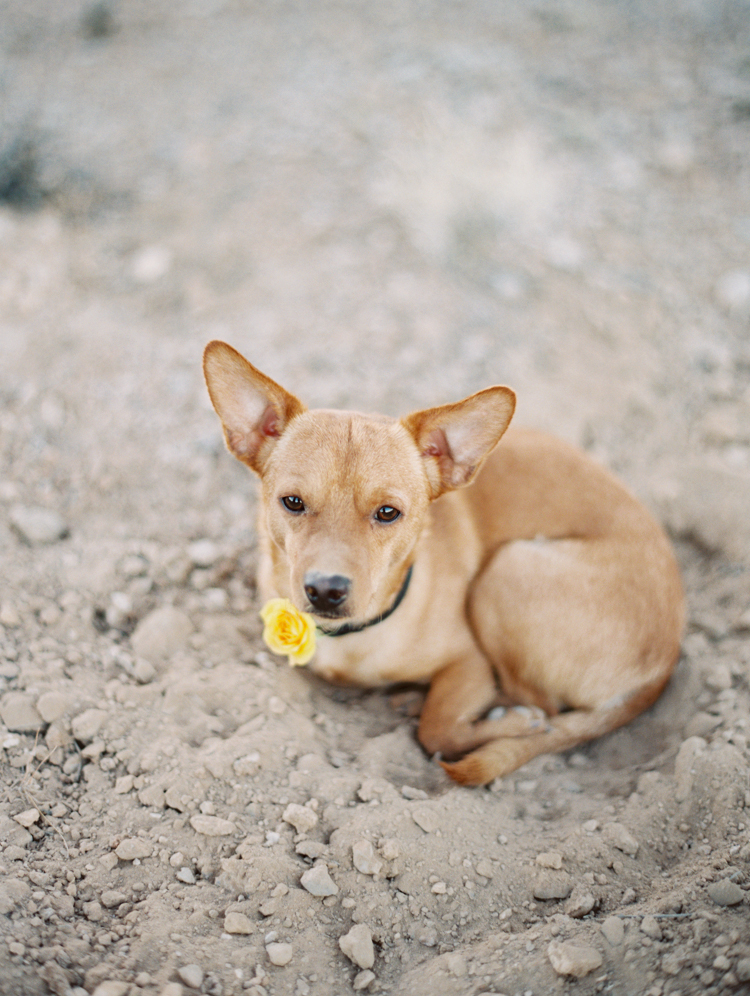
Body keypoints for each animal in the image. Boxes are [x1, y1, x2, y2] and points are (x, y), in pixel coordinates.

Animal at [203, 342, 684, 784]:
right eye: (293, 503)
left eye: (388, 513)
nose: (325, 590)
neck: (356, 637)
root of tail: (662, 669)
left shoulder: (471, 661)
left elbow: (437, 731)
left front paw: (501, 721)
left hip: (507, 571)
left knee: (540, 705)